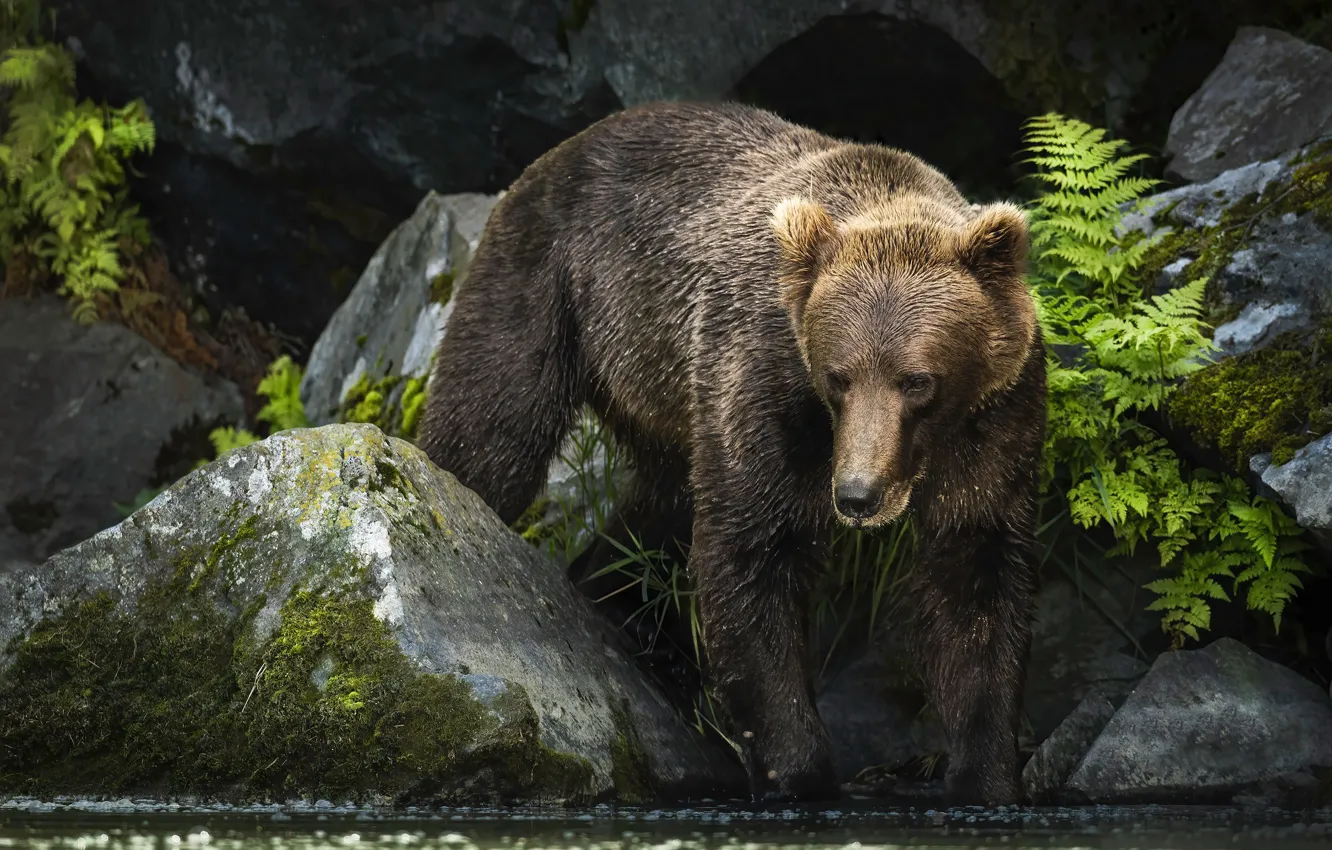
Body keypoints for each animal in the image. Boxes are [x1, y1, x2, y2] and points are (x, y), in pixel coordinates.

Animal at [418, 100, 1047, 806]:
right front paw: (799, 772)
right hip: (553, 287)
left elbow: (975, 575)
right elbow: (752, 550)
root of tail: (555, 153)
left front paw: (987, 774)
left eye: (917, 381)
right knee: (490, 430)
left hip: (656, 389)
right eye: (839, 376)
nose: (858, 494)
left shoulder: (998, 413)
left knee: (657, 510)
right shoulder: (766, 379)